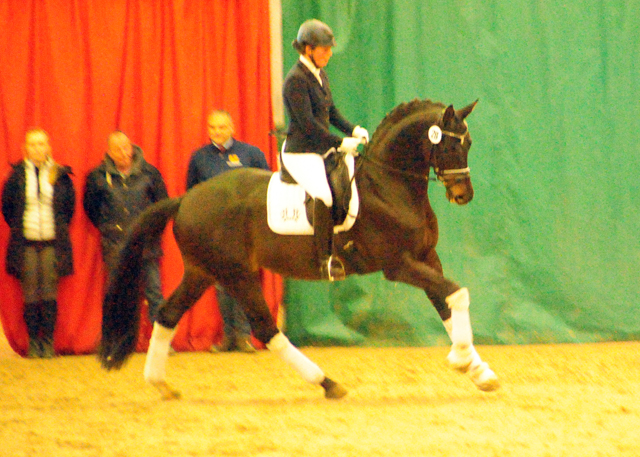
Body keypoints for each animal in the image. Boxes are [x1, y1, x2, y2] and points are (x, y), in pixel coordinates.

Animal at [100, 98, 500, 398]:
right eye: (451, 144)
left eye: (468, 144)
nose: (463, 195)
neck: (388, 186)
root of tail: (185, 199)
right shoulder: (398, 264)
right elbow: (457, 293)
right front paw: (462, 359)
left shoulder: (425, 257)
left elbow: (446, 301)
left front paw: (478, 370)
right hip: (236, 274)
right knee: (265, 329)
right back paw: (327, 383)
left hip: (203, 272)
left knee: (167, 314)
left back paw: (160, 384)